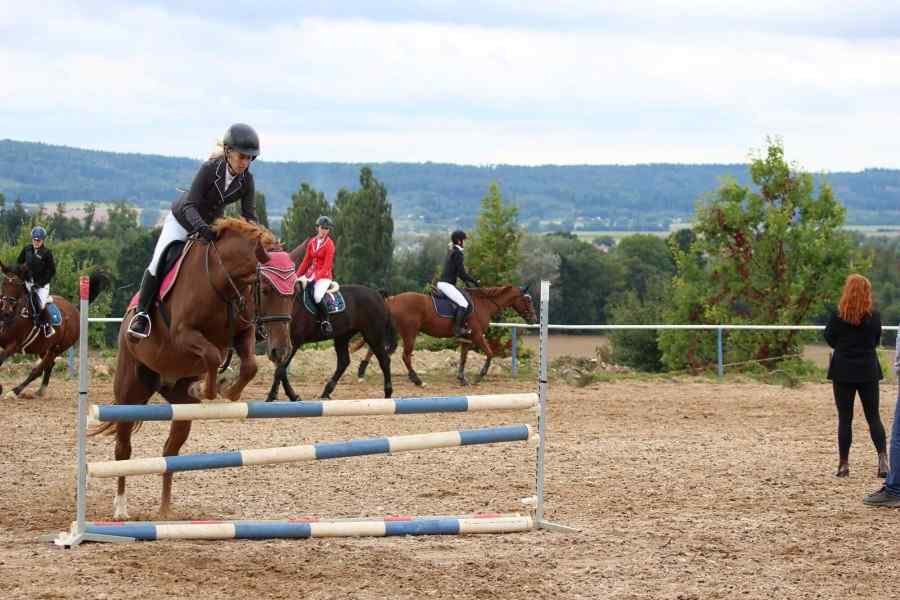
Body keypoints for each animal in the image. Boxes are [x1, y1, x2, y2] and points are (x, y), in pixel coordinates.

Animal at [0, 262, 108, 398]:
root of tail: (75, 309)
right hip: (43, 348)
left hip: (56, 349)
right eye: (4, 283)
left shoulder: (13, 345)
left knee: (38, 370)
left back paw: (15, 391)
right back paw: (41, 390)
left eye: (18, 284)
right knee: (49, 365)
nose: (6, 311)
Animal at [88, 220, 294, 520]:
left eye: (295, 290)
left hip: (180, 405)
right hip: (130, 394)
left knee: (169, 452)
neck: (222, 281)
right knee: (123, 449)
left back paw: (164, 510)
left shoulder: (243, 331)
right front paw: (208, 387)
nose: (281, 351)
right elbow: (212, 356)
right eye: (266, 288)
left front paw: (228, 391)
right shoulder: (183, 334)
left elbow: (250, 366)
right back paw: (121, 508)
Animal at [264, 240, 398, 404]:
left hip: (373, 335)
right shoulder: (280, 344)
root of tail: (378, 295)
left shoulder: (293, 342)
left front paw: (276, 396)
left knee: (384, 360)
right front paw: (287, 395)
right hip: (343, 336)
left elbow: (280, 370)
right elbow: (281, 370)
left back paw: (388, 393)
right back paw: (326, 391)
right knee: (344, 362)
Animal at [356, 288, 540, 390]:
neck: (484, 304)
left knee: (375, 349)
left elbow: (464, 358)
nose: (534, 319)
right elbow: (489, 353)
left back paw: (361, 373)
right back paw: (418, 380)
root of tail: (391, 300)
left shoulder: (467, 338)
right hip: (409, 333)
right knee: (405, 356)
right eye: (527, 300)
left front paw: (462, 379)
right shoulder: (477, 335)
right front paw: (479, 377)